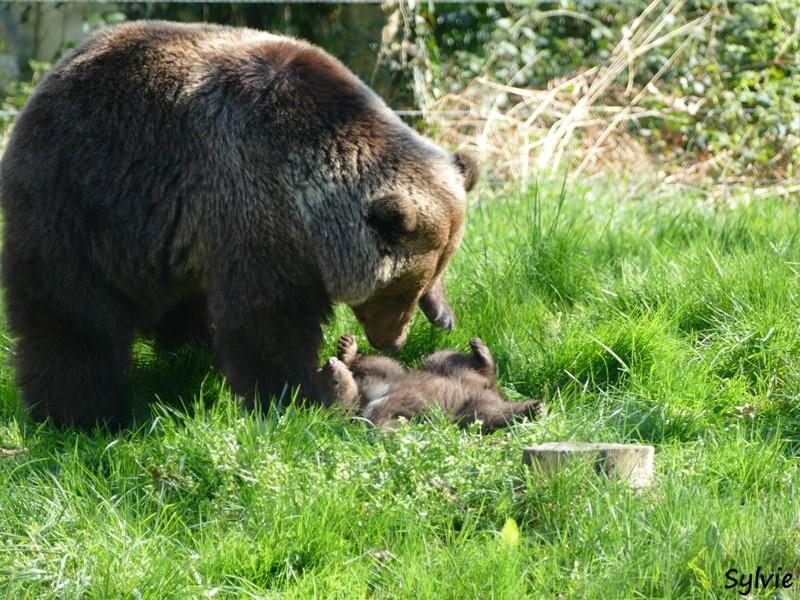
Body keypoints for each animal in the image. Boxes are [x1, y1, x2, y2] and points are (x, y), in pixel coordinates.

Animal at [0, 19, 476, 426]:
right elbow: (267, 323)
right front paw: (298, 396)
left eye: (420, 285)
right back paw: (79, 413)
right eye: (395, 291)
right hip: (79, 204)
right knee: (72, 319)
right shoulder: (249, 202)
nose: (393, 341)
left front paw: (444, 313)